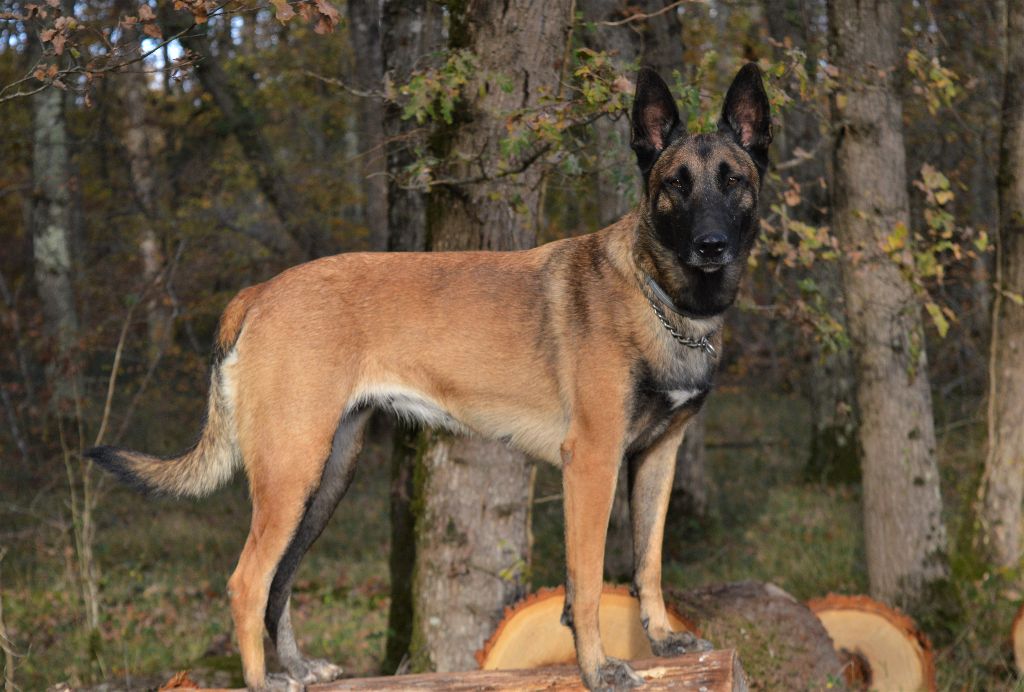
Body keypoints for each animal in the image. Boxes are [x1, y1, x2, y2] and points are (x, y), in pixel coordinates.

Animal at [90, 63, 770, 687]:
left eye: (732, 180)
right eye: (676, 184)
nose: (711, 246)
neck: (662, 299)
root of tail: (258, 293)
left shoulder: (657, 456)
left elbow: (648, 562)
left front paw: (662, 639)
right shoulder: (593, 462)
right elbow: (587, 578)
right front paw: (598, 666)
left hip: (325, 476)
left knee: (279, 580)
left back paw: (300, 667)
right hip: (291, 471)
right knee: (247, 581)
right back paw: (263, 679)